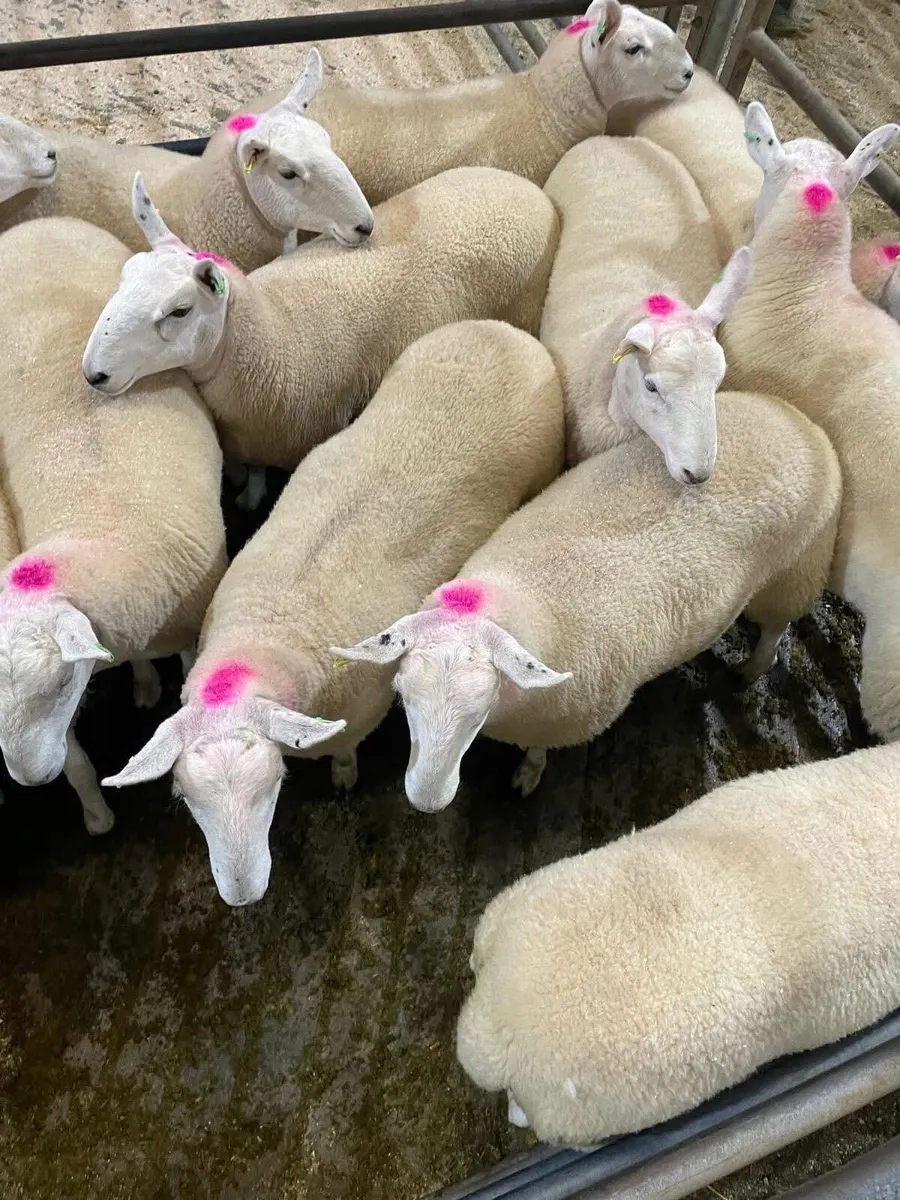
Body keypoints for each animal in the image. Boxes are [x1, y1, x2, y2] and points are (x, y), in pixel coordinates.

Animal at [0, 216, 226, 834]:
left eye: (58, 684)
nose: (32, 780)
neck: (100, 530)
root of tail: (34, 222)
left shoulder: (185, 615)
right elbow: (77, 760)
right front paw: (97, 817)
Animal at [101, 320, 565, 906]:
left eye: (275, 784)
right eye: (185, 799)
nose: (243, 895)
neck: (266, 633)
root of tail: (502, 333)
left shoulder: (356, 712)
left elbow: (343, 752)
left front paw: (343, 775)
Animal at [333, 389, 840, 813]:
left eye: (479, 713)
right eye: (402, 698)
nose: (427, 800)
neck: (525, 596)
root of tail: (804, 424)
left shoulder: (564, 721)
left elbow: (539, 751)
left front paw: (528, 773)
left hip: (794, 571)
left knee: (776, 628)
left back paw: (752, 669)